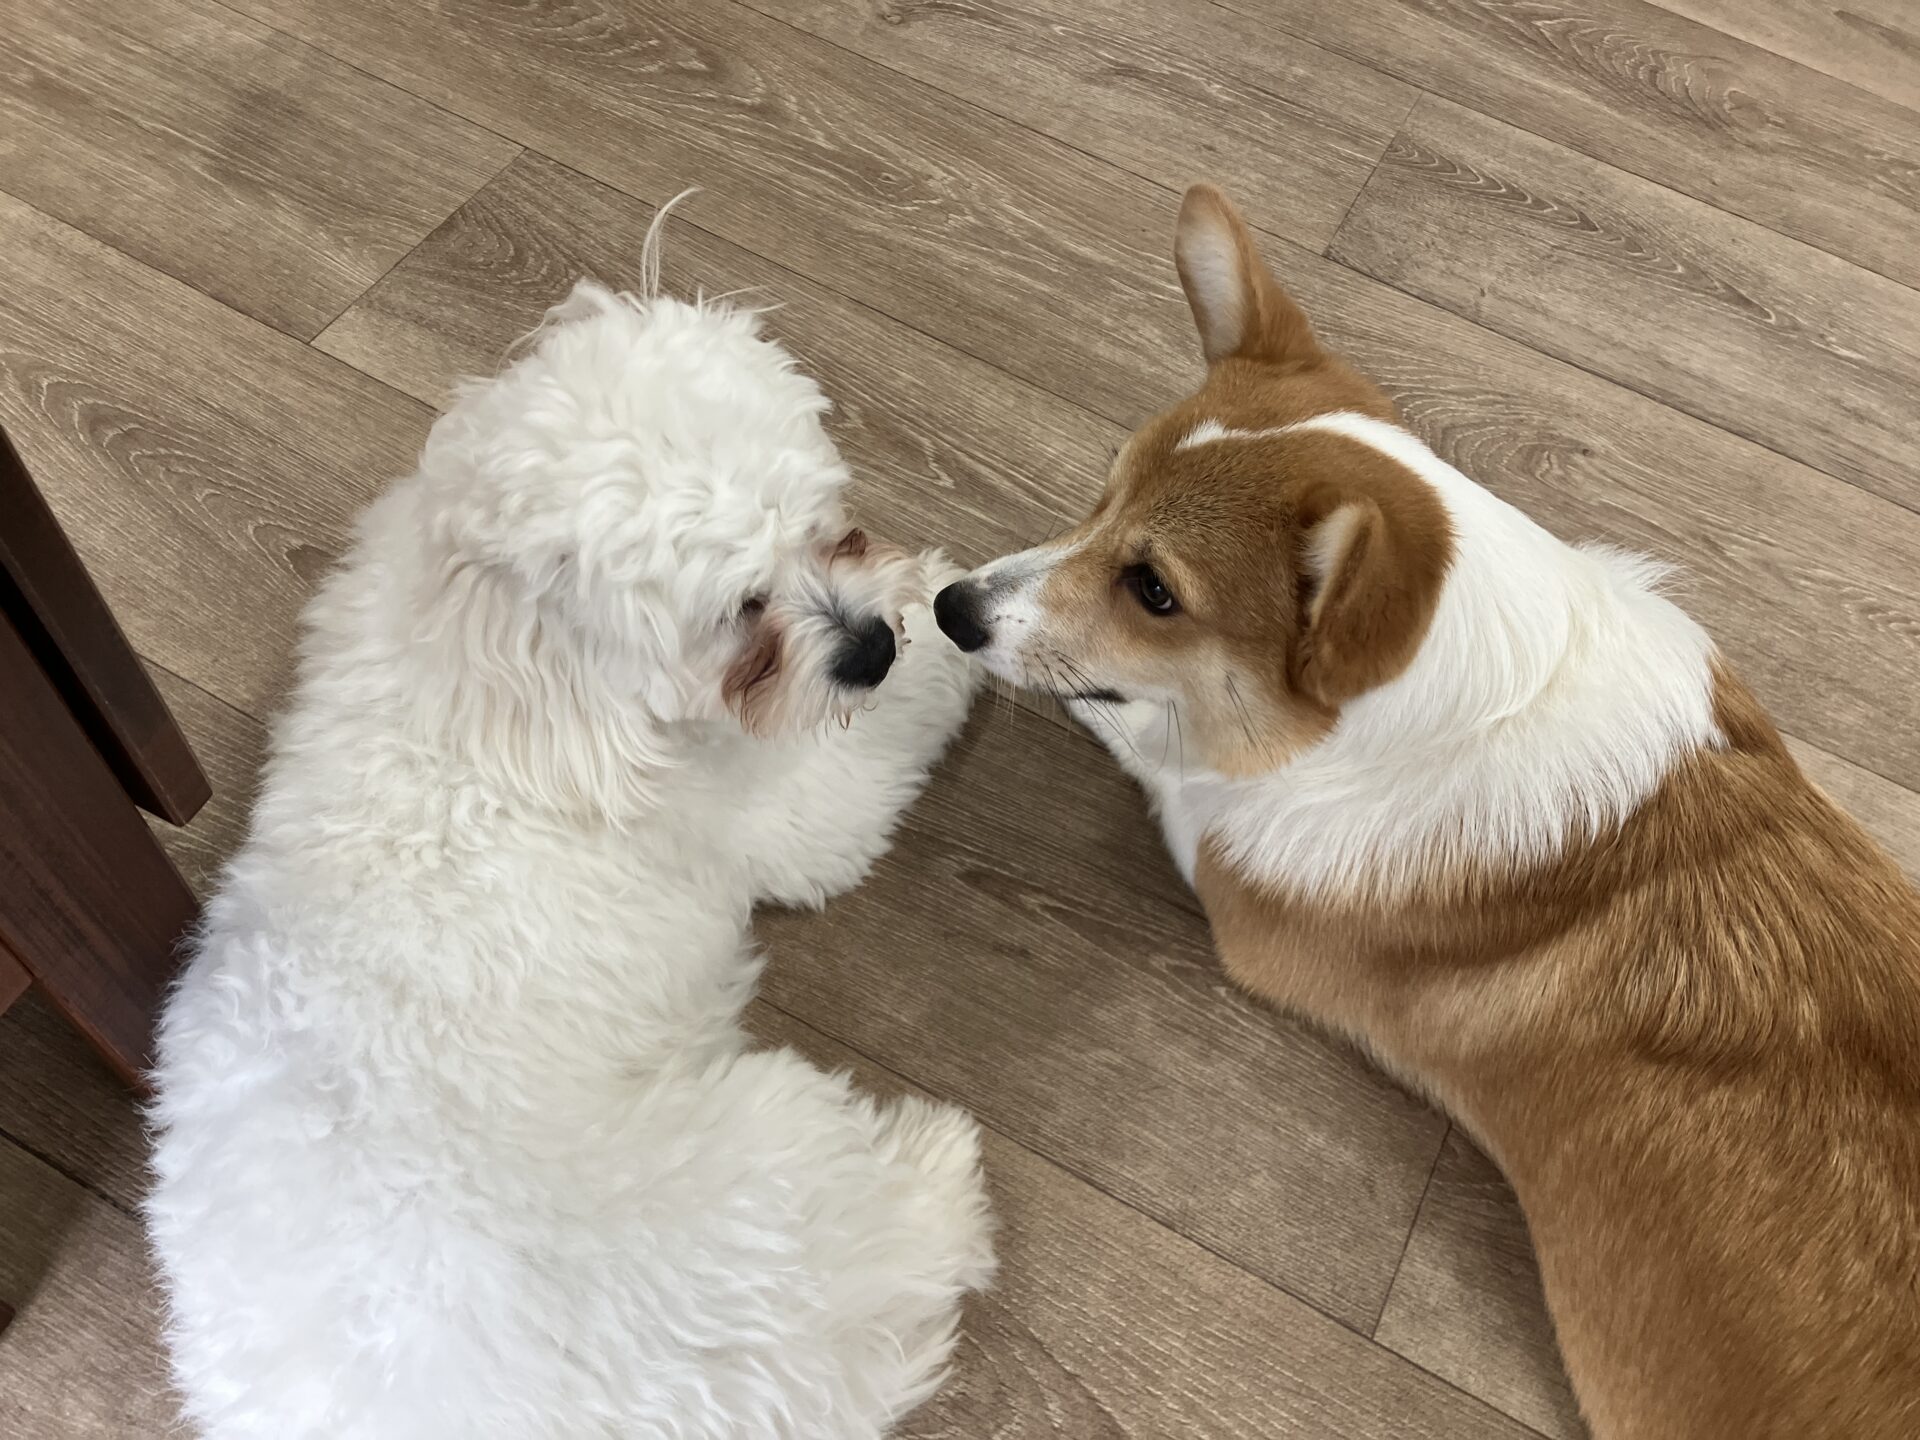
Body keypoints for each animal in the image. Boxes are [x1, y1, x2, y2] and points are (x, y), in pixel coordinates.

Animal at [146, 242, 993, 1439]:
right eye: (740, 615)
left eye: (825, 523)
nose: (870, 646)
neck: (507, 668)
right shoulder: (781, 804)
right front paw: (957, 632)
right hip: (754, 1183)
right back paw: (933, 1168)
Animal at [935, 184, 1920, 1439]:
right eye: (1101, 495)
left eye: (1153, 590)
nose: (951, 609)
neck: (1454, 704)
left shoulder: (1226, 855)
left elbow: (1144, 739)